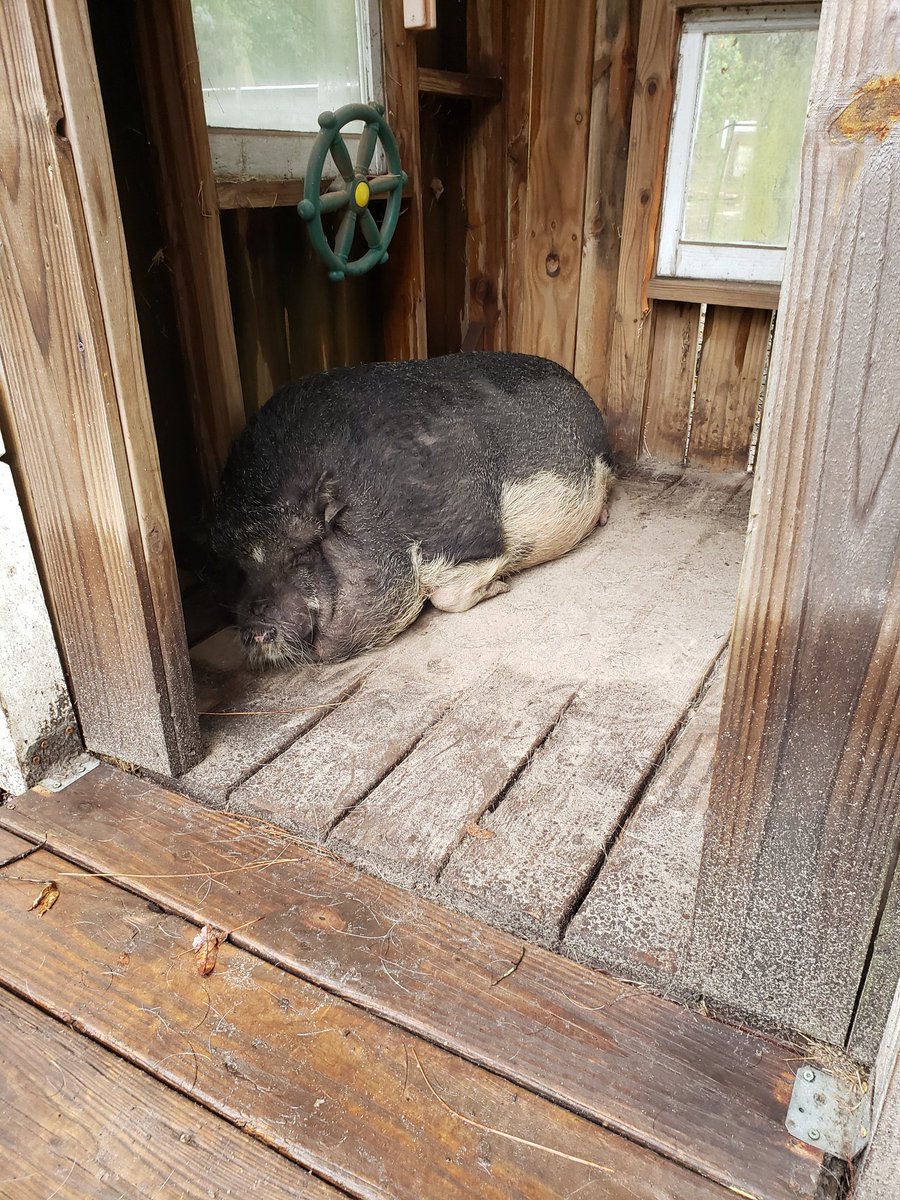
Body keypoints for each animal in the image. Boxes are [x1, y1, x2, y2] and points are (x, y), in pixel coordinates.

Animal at [208, 351, 613, 668]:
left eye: (299, 554)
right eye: (242, 568)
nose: (253, 630)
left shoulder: (468, 536)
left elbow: (450, 595)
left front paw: (501, 586)